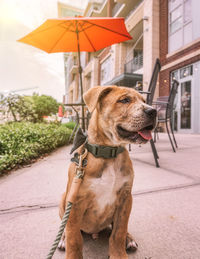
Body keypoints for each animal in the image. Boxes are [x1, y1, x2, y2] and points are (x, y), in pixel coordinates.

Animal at [58, 85, 157, 258]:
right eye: (125, 100)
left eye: (144, 100)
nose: (154, 111)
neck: (109, 153)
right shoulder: (74, 203)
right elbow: (74, 238)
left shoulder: (125, 198)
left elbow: (119, 231)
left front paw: (119, 253)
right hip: (63, 200)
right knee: (66, 229)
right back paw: (62, 239)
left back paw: (129, 239)